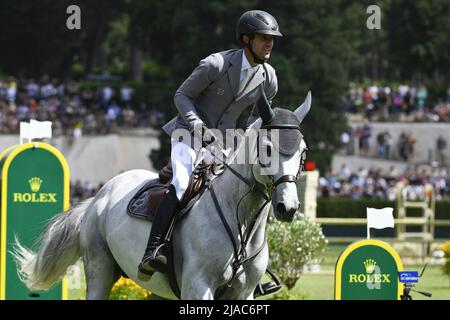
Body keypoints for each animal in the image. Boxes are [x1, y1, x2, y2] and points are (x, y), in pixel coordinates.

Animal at [12, 91, 312, 298]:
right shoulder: (198, 287)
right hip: (100, 269)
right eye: (268, 148)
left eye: (303, 151)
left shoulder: (244, 293)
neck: (241, 222)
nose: (288, 207)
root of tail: (98, 197)